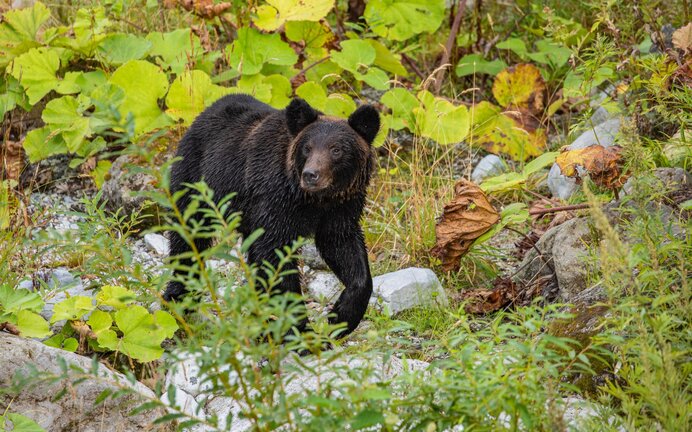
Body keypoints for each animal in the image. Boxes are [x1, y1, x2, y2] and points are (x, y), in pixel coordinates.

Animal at [164, 94, 378, 338]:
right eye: (307, 148)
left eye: (336, 150)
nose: (311, 175)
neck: (314, 200)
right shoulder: (275, 201)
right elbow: (275, 255)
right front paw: (300, 329)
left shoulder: (341, 208)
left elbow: (343, 247)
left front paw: (342, 316)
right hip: (196, 181)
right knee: (189, 237)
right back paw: (179, 299)